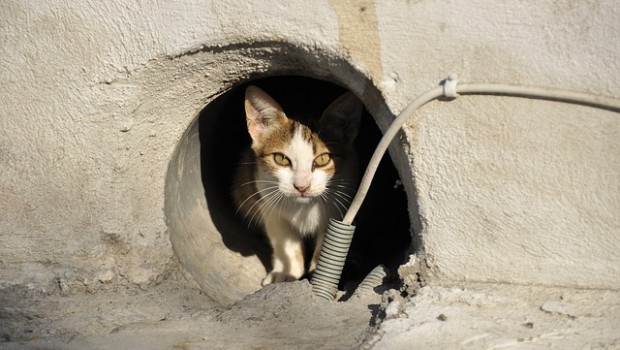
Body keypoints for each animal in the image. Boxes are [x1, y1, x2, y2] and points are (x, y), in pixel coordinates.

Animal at [231, 86, 364, 286]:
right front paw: (286, 272)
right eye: (281, 158)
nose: (302, 187)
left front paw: (320, 273)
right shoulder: (265, 199)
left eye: (323, 159)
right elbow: (283, 238)